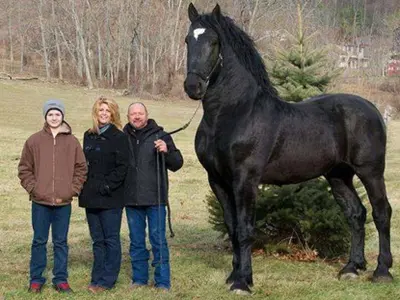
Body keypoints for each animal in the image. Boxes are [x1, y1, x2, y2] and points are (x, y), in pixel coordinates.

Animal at [184, 1, 394, 292]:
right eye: (188, 40)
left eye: (213, 42)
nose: (193, 86)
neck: (234, 113)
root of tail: (372, 108)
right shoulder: (217, 180)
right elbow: (232, 227)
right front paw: (235, 275)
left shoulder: (245, 180)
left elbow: (245, 229)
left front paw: (243, 282)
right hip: (339, 175)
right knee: (356, 213)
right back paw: (352, 268)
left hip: (371, 172)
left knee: (381, 212)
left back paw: (382, 271)